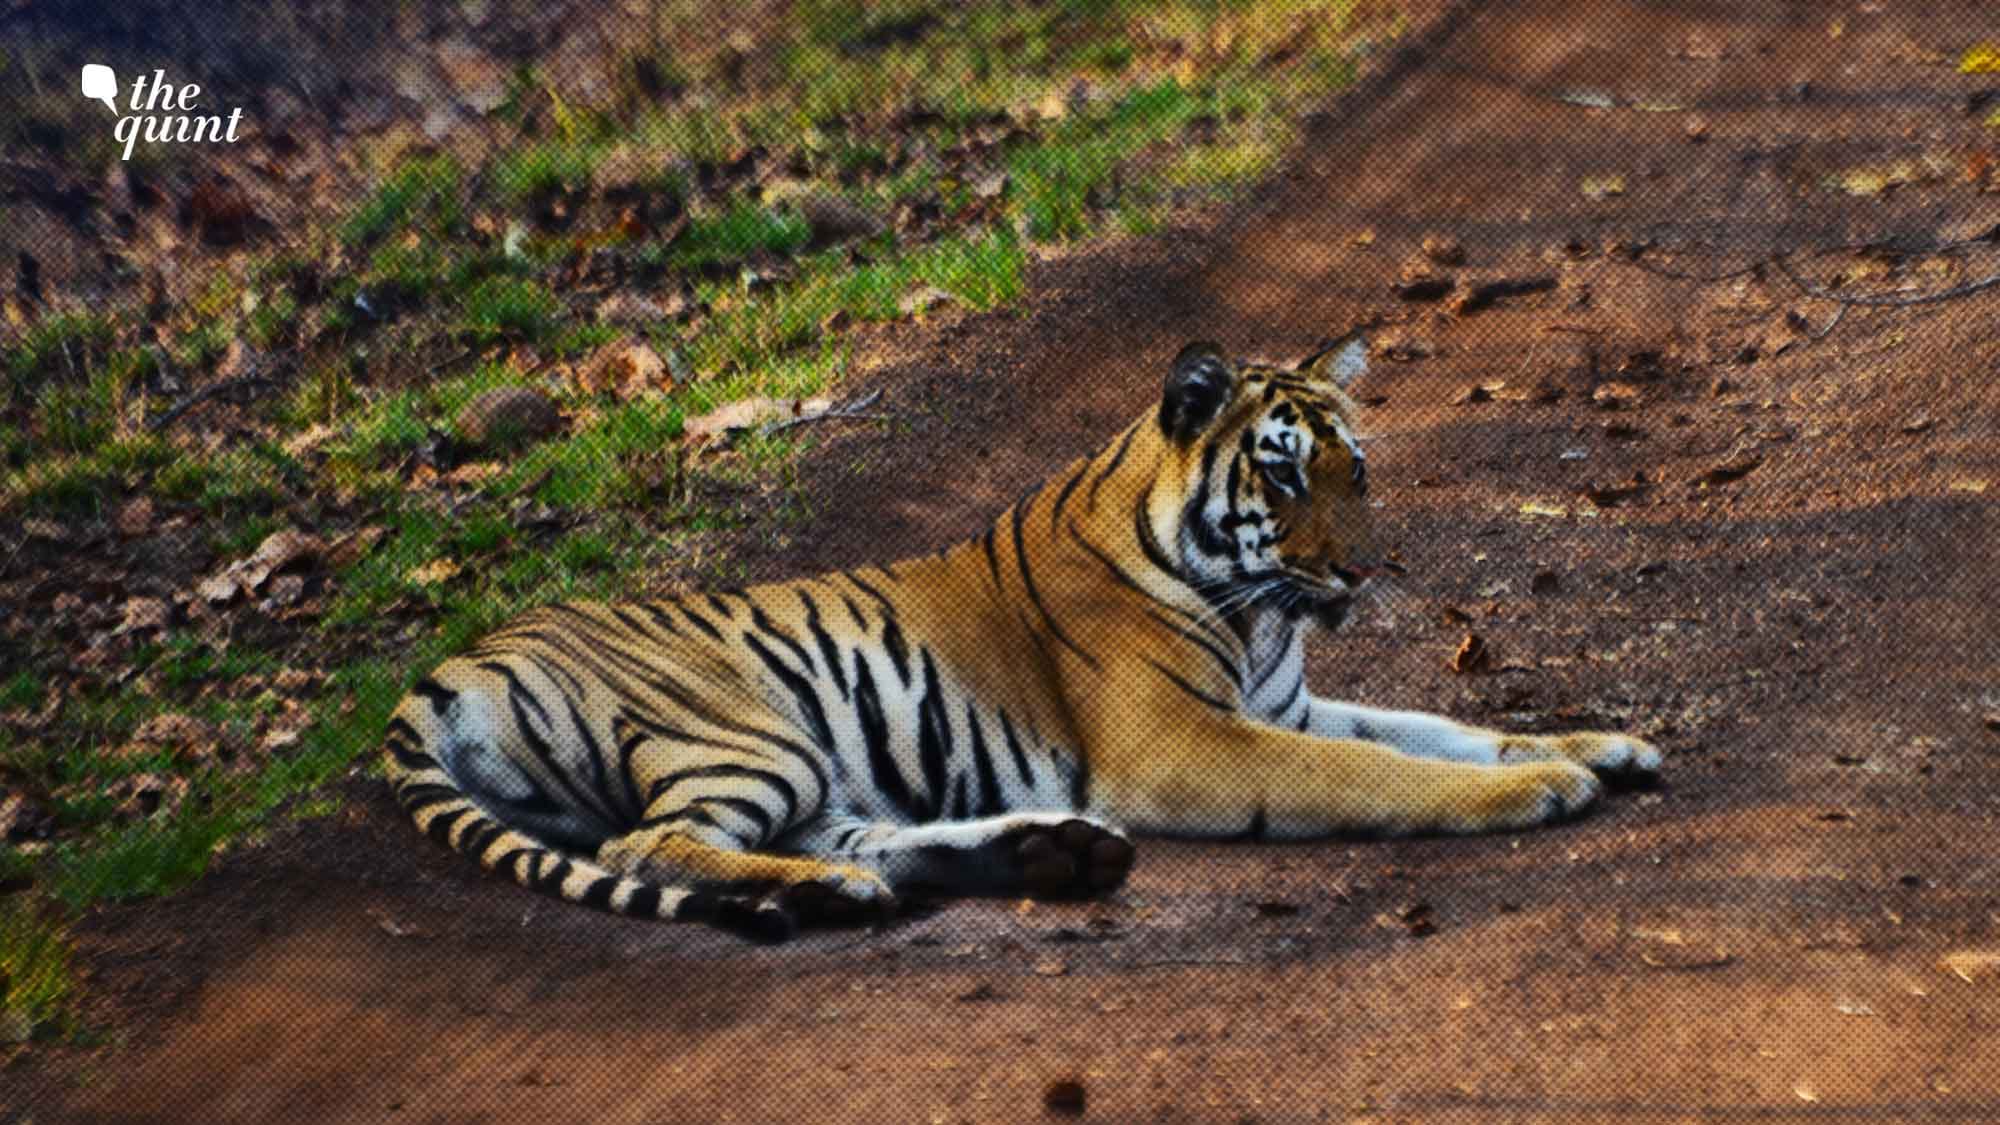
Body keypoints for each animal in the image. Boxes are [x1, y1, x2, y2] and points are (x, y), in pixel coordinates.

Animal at [383, 335, 1662, 940]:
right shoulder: (1187, 742)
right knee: (648, 846)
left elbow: (1436, 726)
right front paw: (1539, 788)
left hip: (813, 770)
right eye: (1285, 475)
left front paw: (1596, 745)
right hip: (750, 734)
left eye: (1356, 471)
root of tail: (445, 666)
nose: (1357, 570)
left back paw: (1041, 857)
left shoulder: (1286, 703)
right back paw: (852, 891)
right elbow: (1379, 771)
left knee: (854, 841)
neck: (1254, 613)